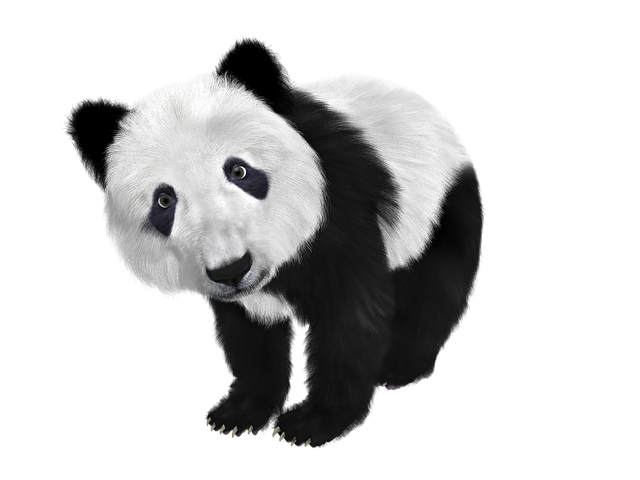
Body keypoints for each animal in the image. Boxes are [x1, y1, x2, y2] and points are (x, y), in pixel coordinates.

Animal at [101, 70, 483, 448]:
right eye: (164, 201)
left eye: (239, 171)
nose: (232, 270)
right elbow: (249, 335)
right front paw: (240, 414)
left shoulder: (339, 207)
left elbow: (348, 318)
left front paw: (313, 423)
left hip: (442, 201)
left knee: (435, 284)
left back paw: (400, 368)